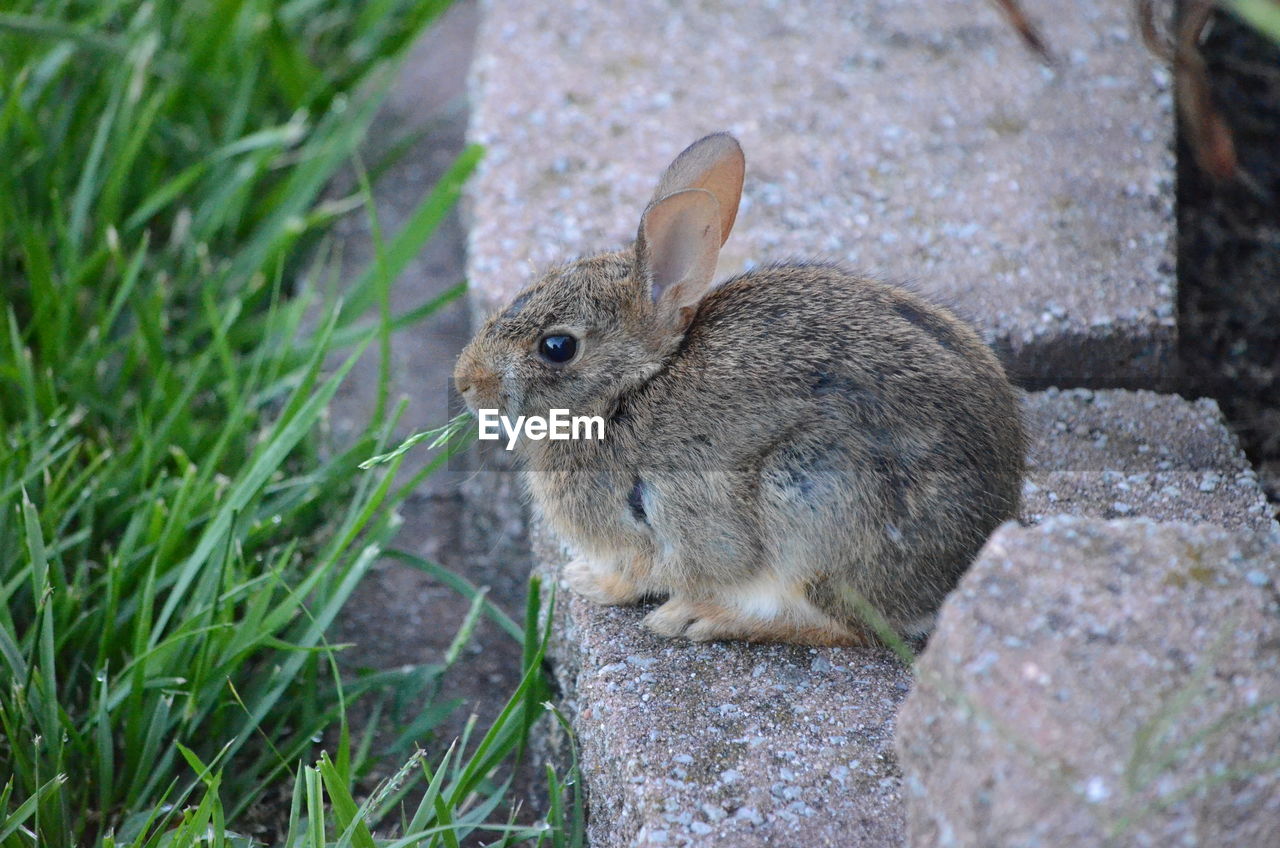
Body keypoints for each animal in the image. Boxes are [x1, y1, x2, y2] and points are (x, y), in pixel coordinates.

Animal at [455, 133, 1024, 648]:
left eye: (557, 347)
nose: (465, 381)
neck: (630, 387)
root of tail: (959, 567)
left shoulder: (649, 527)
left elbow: (636, 575)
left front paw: (588, 582)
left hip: (813, 503)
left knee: (847, 627)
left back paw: (699, 618)